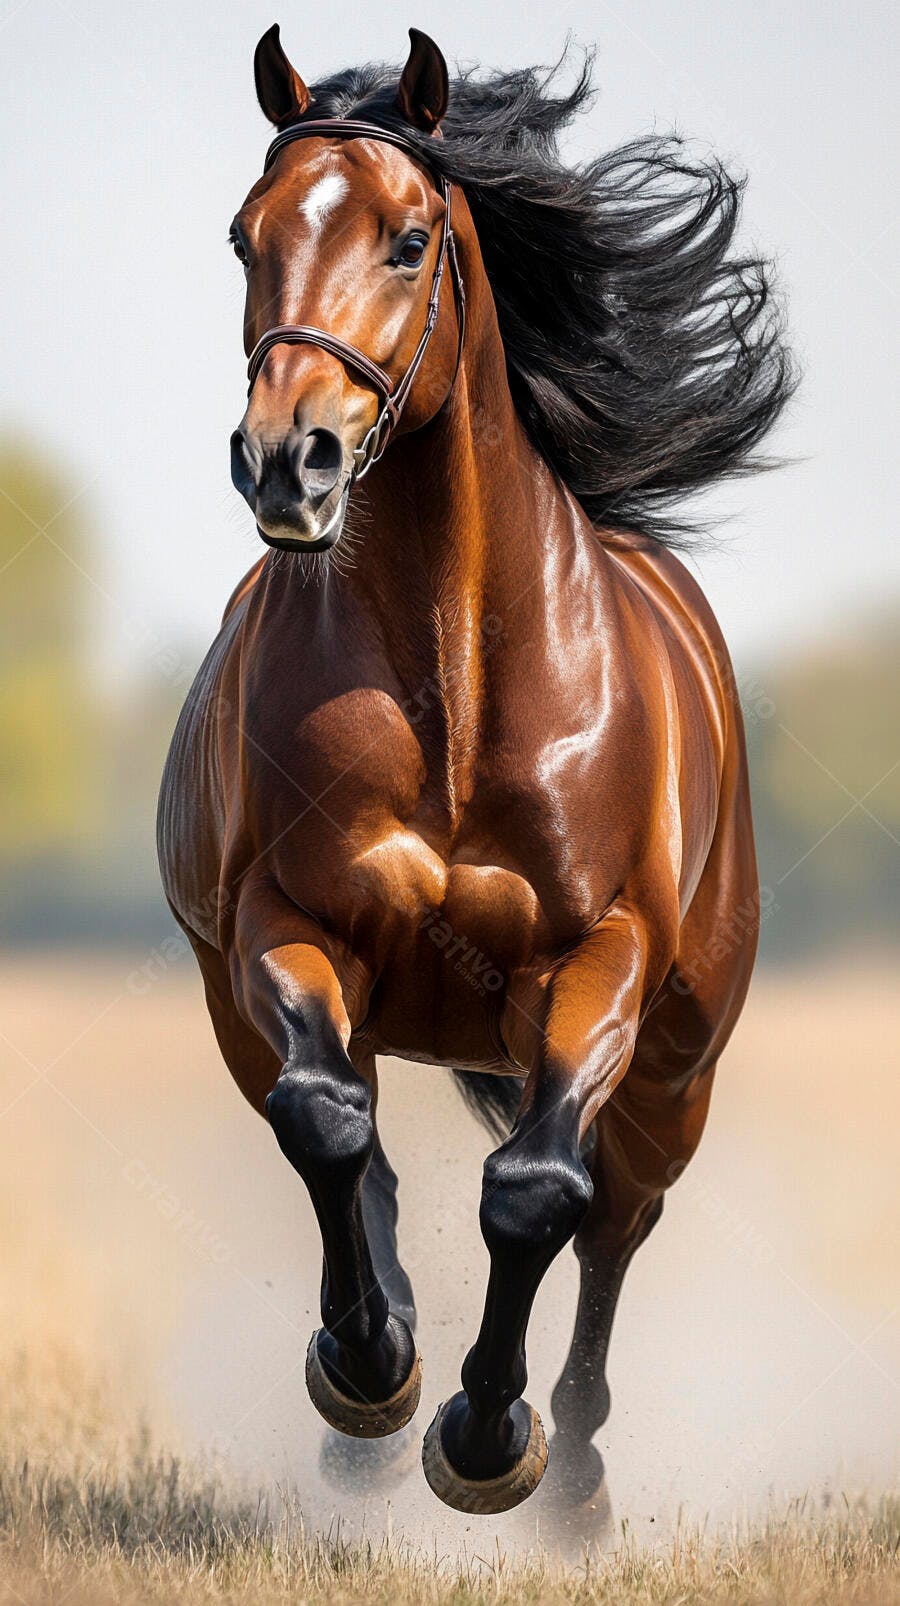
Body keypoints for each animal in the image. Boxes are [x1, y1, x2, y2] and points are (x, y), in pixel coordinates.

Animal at [158, 26, 791, 1515]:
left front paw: (492, 1438)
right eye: (244, 237)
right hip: (244, 1001)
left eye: (407, 241)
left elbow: (538, 1191)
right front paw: (372, 1376)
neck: (458, 681)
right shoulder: (283, 923)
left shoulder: (599, 959)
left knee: (616, 1215)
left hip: (678, 1064)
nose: (286, 461)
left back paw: (577, 1478)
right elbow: (329, 1120)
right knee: (348, 1131)